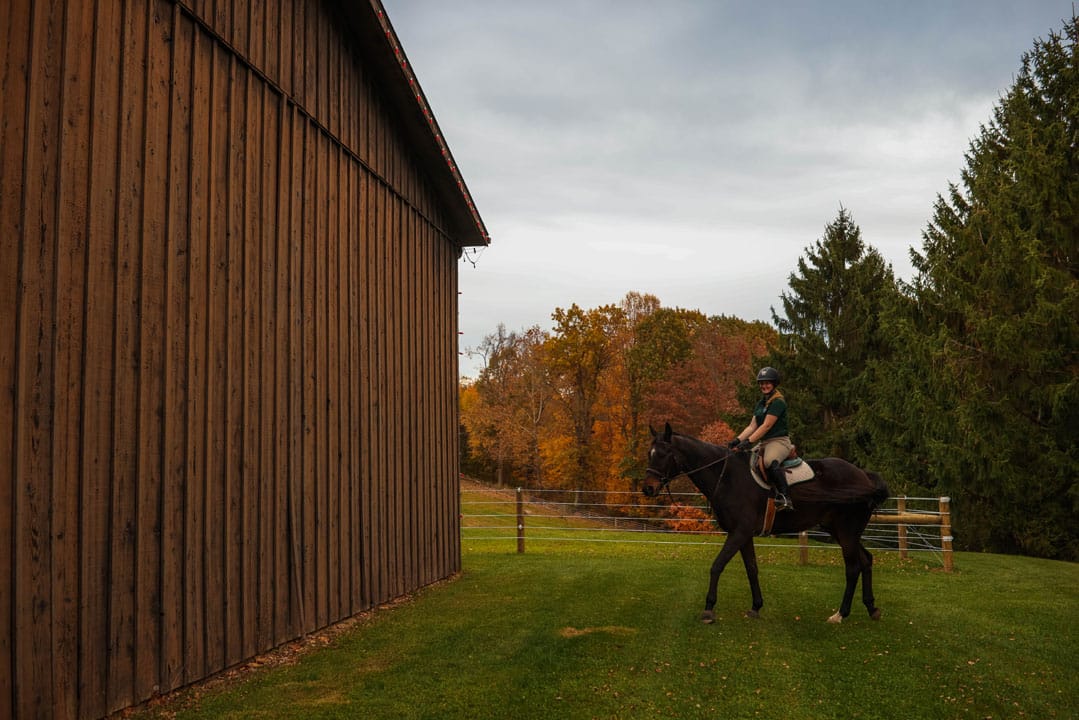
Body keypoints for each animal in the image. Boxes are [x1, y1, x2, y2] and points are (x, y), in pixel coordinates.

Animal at [643, 425, 889, 621]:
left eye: (664, 454)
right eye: (650, 453)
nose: (648, 488)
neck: (727, 476)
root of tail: (864, 476)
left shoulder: (739, 532)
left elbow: (717, 565)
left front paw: (709, 608)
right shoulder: (743, 535)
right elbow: (752, 569)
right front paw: (756, 607)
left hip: (847, 532)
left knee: (853, 567)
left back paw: (841, 614)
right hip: (840, 531)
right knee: (866, 560)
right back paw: (872, 608)